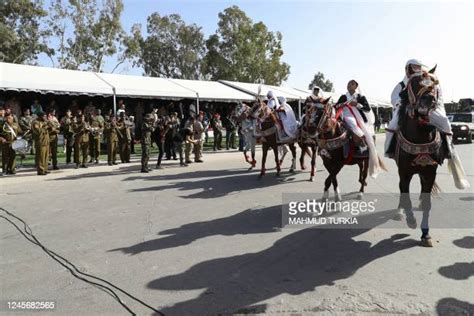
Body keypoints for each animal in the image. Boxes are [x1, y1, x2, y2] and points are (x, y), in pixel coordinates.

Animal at [390, 65, 446, 247]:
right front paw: (411, 220)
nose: (429, 99)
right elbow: (405, 195)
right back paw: (400, 212)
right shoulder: (404, 172)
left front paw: (426, 234)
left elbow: (427, 203)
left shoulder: (429, 171)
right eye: (414, 83)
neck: (421, 133)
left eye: (435, 82)